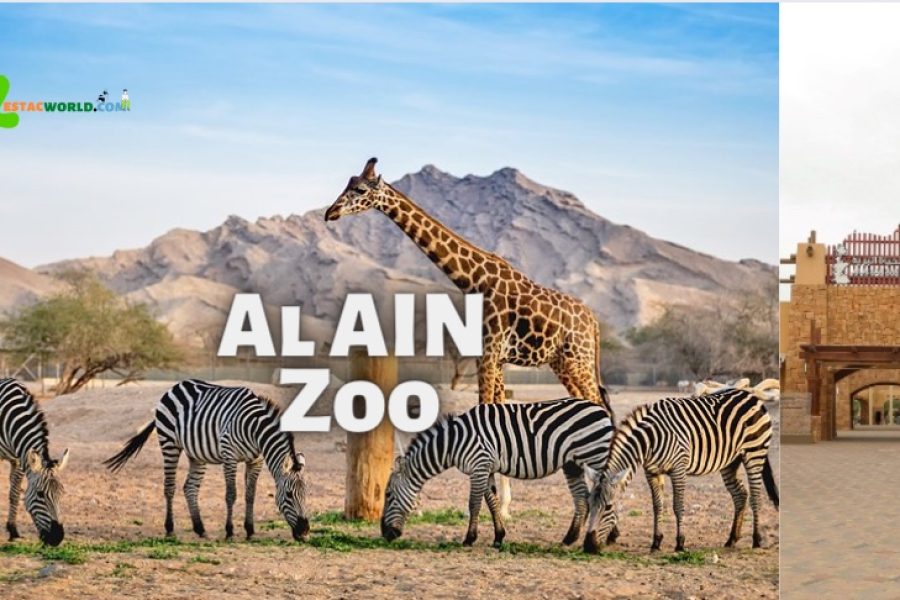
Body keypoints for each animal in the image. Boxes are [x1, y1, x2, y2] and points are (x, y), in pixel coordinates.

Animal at [0, 378, 69, 546]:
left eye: (62, 493)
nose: (57, 538)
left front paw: (13, 530)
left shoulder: (19, 459)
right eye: (40, 494)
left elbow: (15, 494)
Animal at [104, 379, 310, 541]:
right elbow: (231, 494)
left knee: (190, 488)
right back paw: (170, 529)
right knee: (169, 487)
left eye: (306, 494)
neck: (255, 430)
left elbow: (250, 495)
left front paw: (250, 531)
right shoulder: (230, 456)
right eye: (289, 495)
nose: (305, 532)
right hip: (169, 443)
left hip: (197, 454)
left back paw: (200, 529)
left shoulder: (255, 461)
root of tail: (176, 386)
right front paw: (230, 532)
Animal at [325, 158, 614, 518]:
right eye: (346, 185)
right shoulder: (495, 357)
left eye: (360, 190)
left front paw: (489, 505)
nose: (330, 212)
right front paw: (503, 506)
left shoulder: (488, 352)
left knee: (600, 405)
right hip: (562, 362)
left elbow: (488, 414)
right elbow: (499, 415)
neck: (474, 280)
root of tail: (595, 323)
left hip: (578, 358)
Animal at [381, 397, 614, 548]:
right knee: (582, 499)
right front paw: (499, 537)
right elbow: (491, 503)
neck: (453, 443)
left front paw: (469, 539)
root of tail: (600, 408)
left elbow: (474, 504)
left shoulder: (479, 465)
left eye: (388, 495)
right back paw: (569, 539)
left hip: (596, 456)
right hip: (572, 463)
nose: (384, 534)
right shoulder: (485, 469)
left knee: (608, 492)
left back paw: (606, 537)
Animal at [582, 382, 780, 554]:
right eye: (589, 504)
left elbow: (678, 505)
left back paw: (756, 540)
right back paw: (731, 539)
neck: (649, 440)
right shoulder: (652, 472)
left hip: (755, 453)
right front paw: (656, 543)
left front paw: (680, 543)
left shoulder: (678, 469)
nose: (588, 547)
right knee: (740, 495)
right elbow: (657, 506)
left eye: (608, 507)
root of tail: (751, 396)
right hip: (731, 461)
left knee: (755, 497)